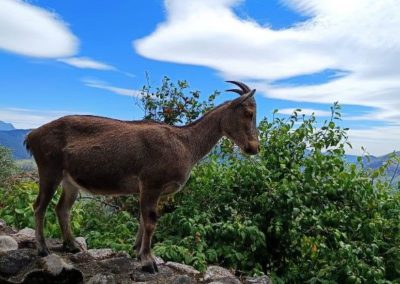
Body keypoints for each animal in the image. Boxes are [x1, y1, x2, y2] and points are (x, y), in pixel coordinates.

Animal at [26, 81, 260, 272]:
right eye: (249, 113)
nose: (254, 148)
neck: (186, 143)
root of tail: (31, 136)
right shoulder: (151, 183)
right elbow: (150, 221)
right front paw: (148, 261)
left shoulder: (147, 189)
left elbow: (142, 218)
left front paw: (137, 250)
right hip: (49, 170)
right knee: (39, 206)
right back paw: (43, 249)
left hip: (69, 180)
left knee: (62, 208)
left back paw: (72, 245)